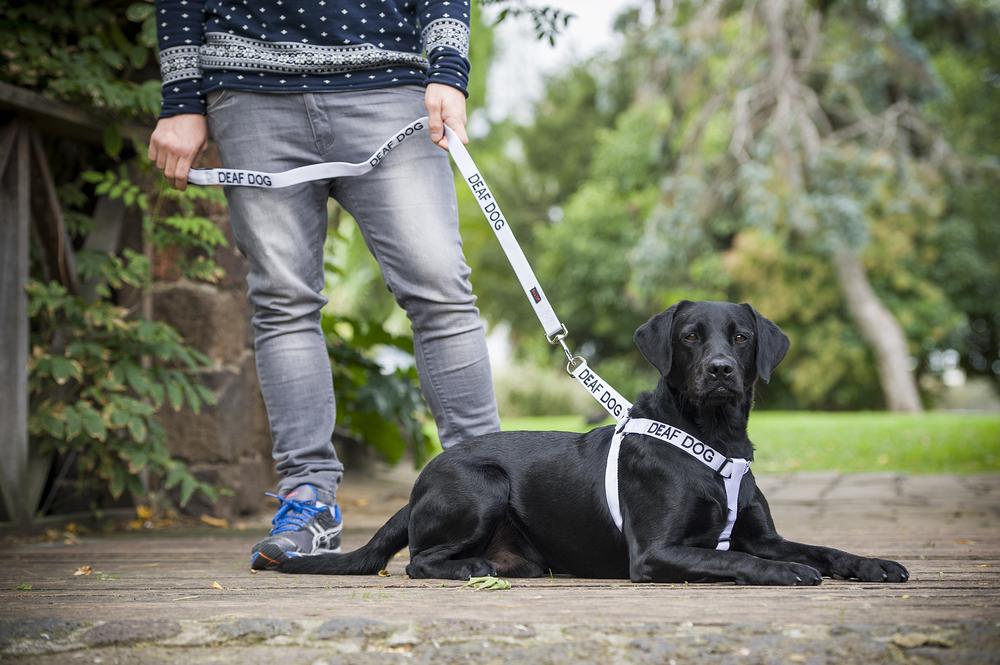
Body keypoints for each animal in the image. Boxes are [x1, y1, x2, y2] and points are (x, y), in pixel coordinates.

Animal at [278, 300, 912, 588]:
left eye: (741, 337)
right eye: (690, 337)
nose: (721, 371)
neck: (712, 440)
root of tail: (419, 484)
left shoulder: (764, 535)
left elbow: (818, 548)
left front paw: (869, 562)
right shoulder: (655, 552)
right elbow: (732, 559)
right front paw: (784, 574)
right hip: (481, 487)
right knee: (418, 562)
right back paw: (469, 565)